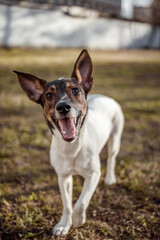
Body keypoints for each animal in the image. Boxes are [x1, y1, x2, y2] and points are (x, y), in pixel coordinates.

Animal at [13, 49, 124, 236]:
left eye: (75, 90)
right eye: (49, 95)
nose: (63, 107)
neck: (71, 147)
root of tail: (105, 97)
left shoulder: (93, 175)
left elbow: (81, 202)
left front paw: (79, 220)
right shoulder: (63, 177)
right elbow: (67, 205)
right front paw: (64, 224)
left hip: (115, 138)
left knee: (111, 158)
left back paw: (110, 178)